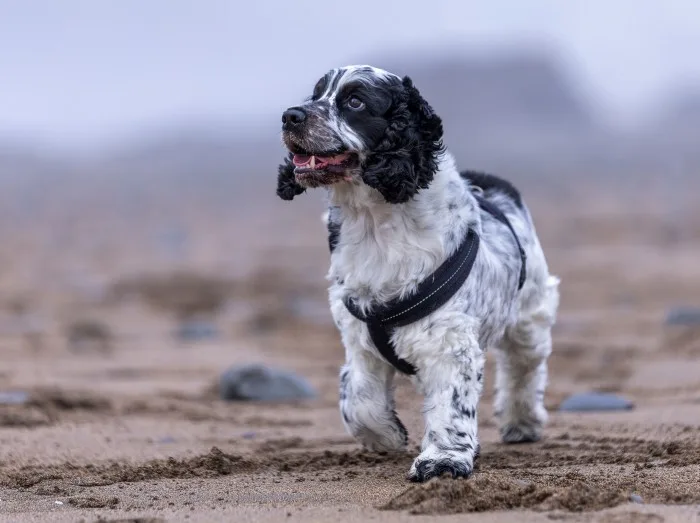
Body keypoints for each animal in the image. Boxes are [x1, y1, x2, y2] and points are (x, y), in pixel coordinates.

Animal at [276, 65, 560, 484]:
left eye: (355, 101)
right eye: (316, 94)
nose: (290, 116)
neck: (374, 223)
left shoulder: (449, 342)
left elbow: (451, 405)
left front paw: (442, 461)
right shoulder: (358, 335)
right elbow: (357, 396)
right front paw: (385, 435)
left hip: (530, 316)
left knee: (524, 369)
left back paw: (521, 423)